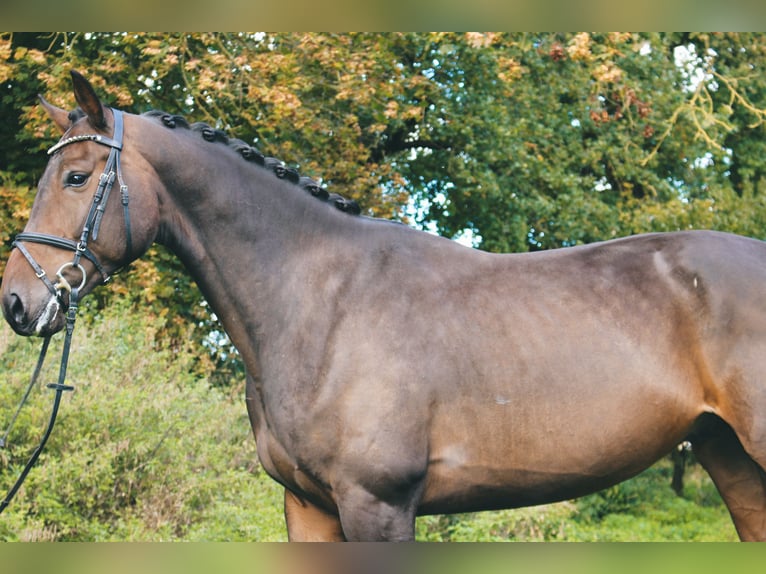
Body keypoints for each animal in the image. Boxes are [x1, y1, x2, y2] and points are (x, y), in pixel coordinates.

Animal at [1, 70, 766, 544]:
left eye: (77, 177)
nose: (17, 300)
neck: (318, 303)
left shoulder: (379, 505)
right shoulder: (308, 507)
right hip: (732, 461)